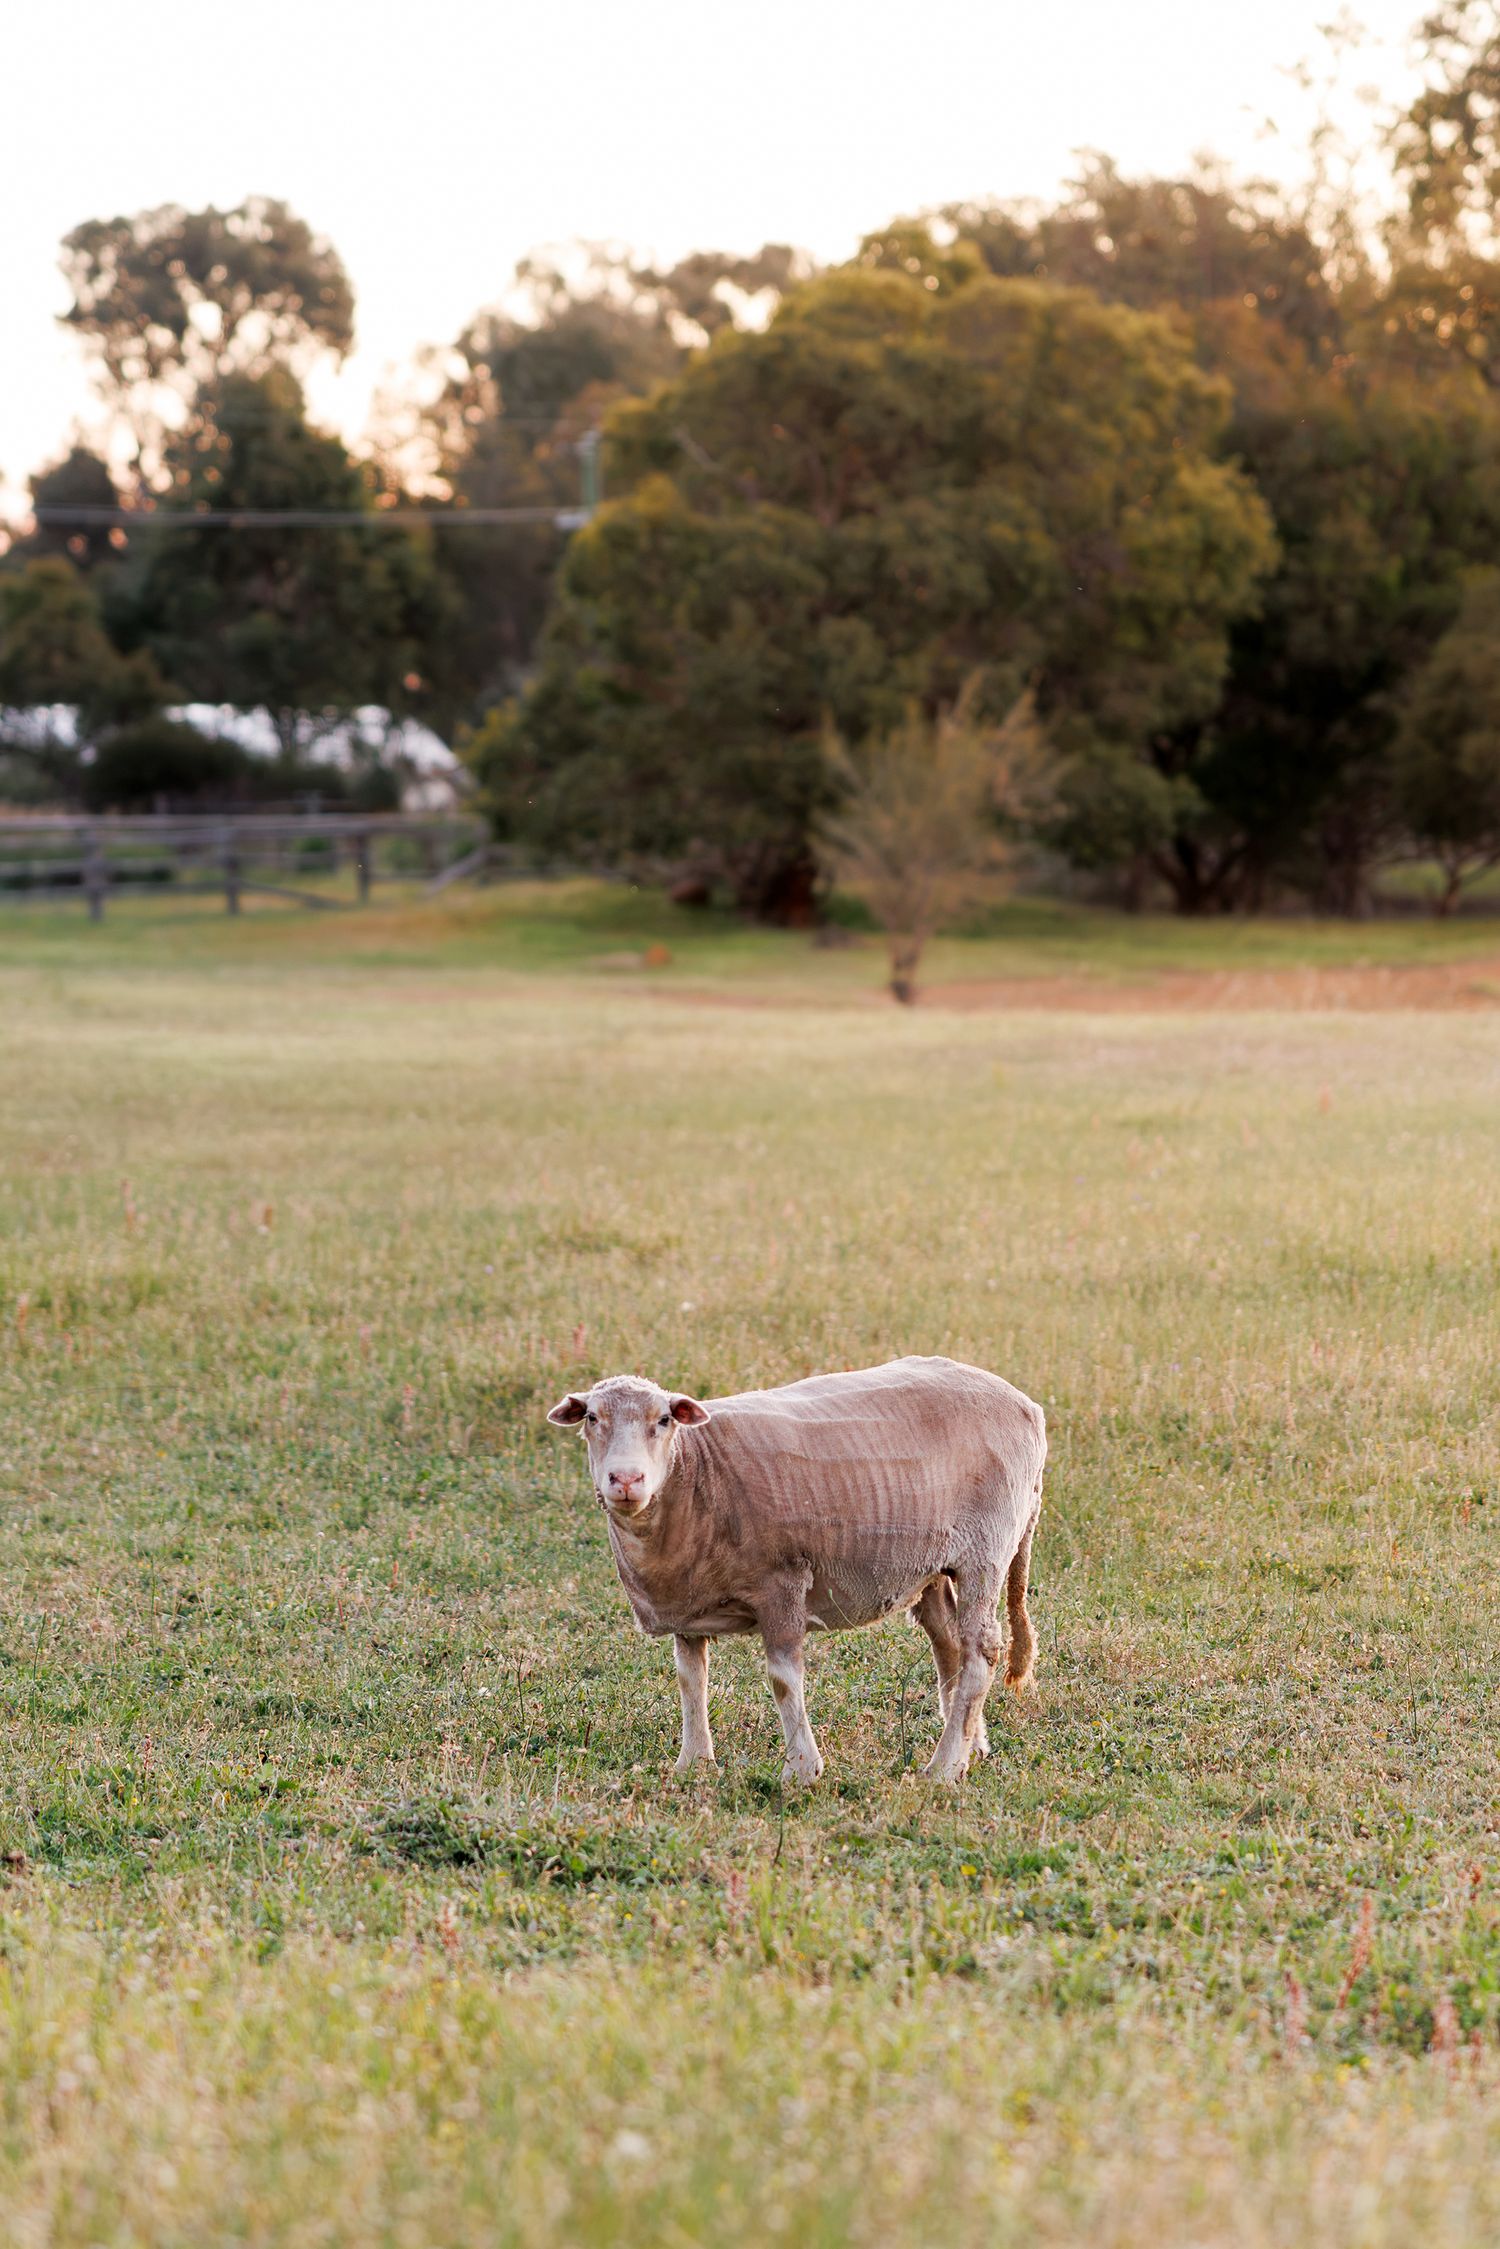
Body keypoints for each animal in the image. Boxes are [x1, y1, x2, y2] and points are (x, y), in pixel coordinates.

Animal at [546, 1355, 1045, 1784]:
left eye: (664, 1420)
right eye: (592, 1418)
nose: (626, 1480)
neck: (697, 1470)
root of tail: (1027, 1407)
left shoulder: (781, 1581)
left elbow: (783, 1679)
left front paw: (801, 1770)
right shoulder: (687, 1598)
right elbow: (690, 1679)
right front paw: (694, 1763)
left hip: (987, 1549)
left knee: (980, 1649)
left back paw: (943, 1767)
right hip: (934, 1563)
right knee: (948, 1644)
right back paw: (970, 1747)